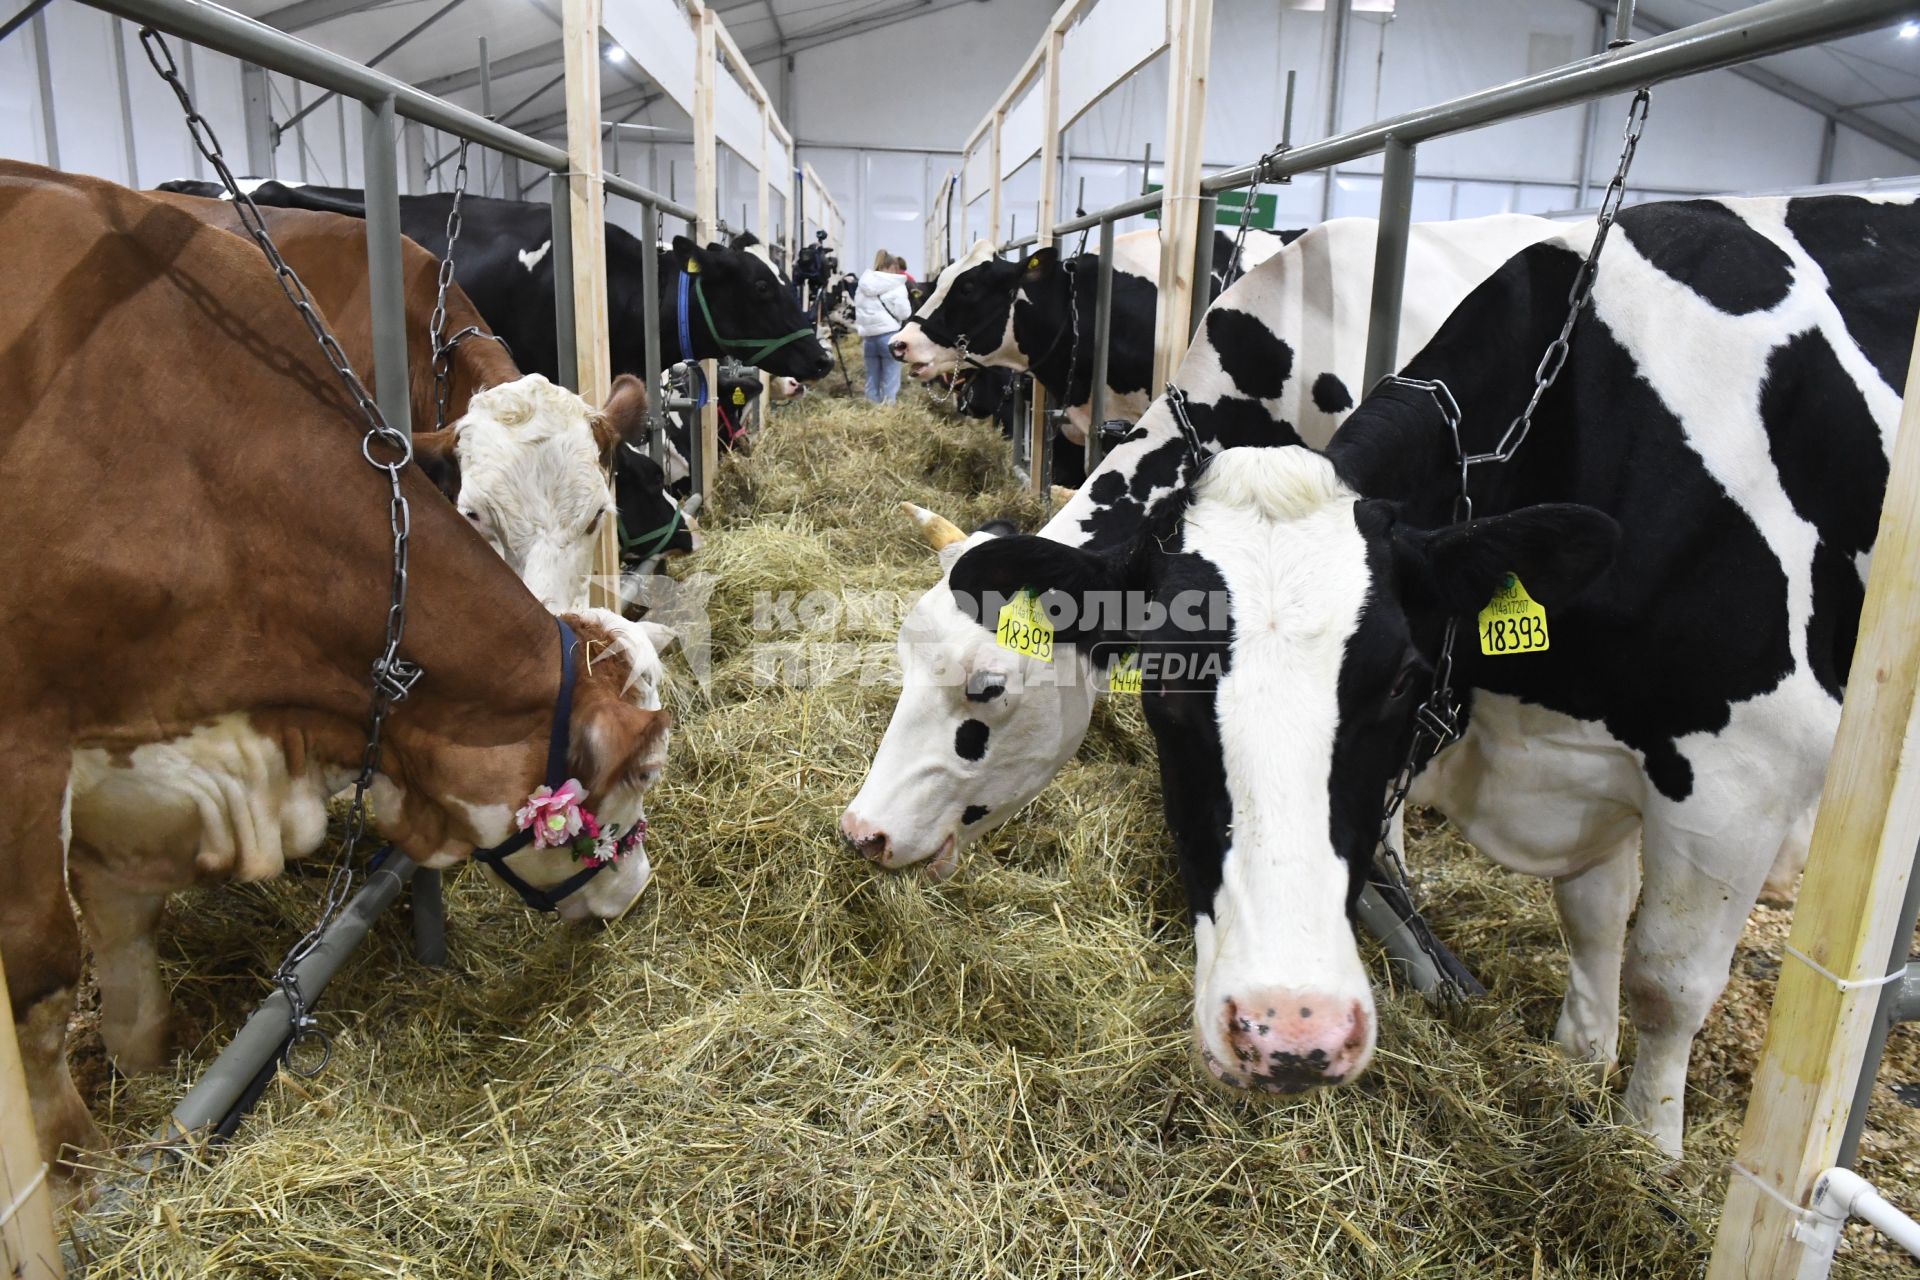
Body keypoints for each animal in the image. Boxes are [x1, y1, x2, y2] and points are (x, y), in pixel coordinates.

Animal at [0, 165, 668, 1189]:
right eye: (474, 512)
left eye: (597, 511)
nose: (632, 894)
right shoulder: (33, 745)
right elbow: (41, 969)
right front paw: (74, 1171)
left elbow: (121, 910)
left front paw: (147, 1061)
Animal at [936, 195, 1912, 1159]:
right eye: (1165, 685)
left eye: (1402, 680)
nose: (1291, 1031)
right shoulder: (1587, 757)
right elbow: (1594, 916)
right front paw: (1579, 1063)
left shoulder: (1740, 777)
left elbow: (1666, 979)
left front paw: (1646, 1152)